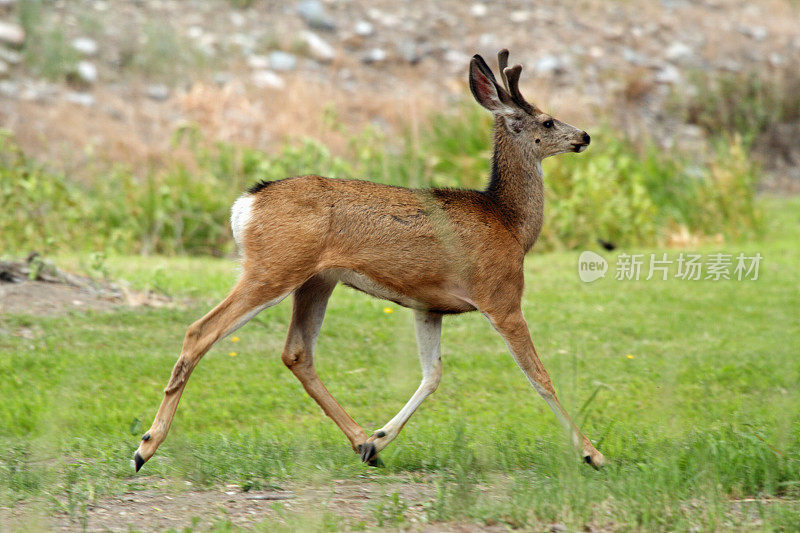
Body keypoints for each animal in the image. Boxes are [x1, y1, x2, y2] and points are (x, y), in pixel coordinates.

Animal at [133, 50, 608, 472]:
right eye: (547, 120)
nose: (584, 135)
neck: (511, 224)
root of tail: (245, 204)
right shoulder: (502, 296)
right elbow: (540, 376)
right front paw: (592, 454)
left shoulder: (429, 305)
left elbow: (432, 374)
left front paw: (379, 439)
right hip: (273, 267)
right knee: (200, 331)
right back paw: (145, 447)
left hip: (315, 280)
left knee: (297, 353)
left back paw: (363, 443)